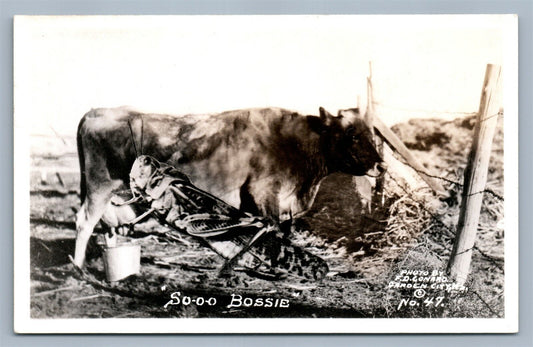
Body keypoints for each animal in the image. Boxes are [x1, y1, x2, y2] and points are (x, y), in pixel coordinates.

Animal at [74, 107, 382, 268]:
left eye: (371, 134)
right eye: (353, 136)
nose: (380, 165)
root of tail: (97, 112)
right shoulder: (264, 195)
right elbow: (271, 233)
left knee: (109, 226)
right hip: (99, 185)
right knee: (84, 222)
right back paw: (78, 267)